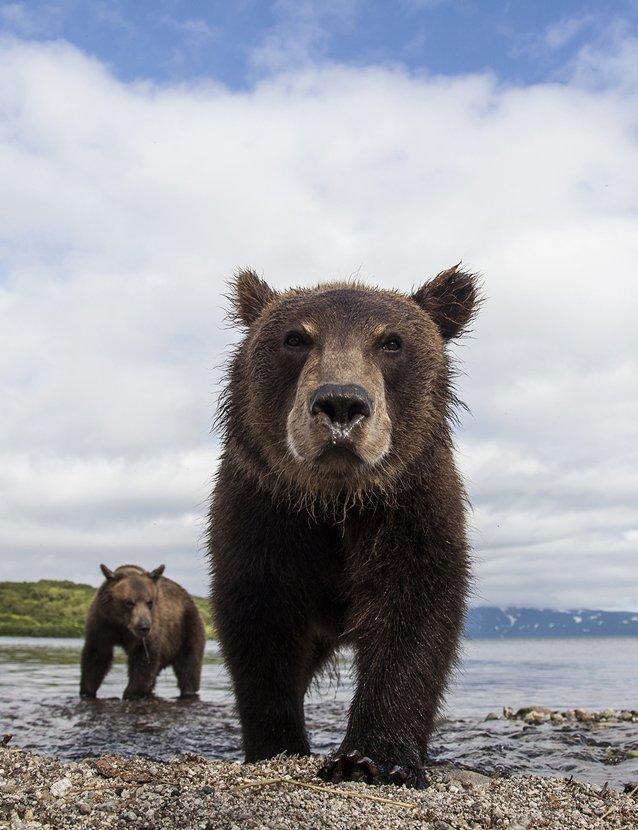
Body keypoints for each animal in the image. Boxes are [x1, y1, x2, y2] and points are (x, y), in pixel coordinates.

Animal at [79, 564, 205, 704]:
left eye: (149, 602)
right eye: (129, 602)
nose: (144, 627)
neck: (122, 624)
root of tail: (189, 598)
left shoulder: (151, 630)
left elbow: (144, 659)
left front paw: (131, 693)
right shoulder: (102, 623)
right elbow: (97, 655)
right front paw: (87, 690)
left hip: (188, 627)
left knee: (189, 665)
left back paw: (188, 690)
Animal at [209, 264, 480, 788]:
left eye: (391, 341)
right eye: (296, 338)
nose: (340, 404)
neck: (335, 502)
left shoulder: (408, 508)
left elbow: (416, 611)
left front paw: (375, 758)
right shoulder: (264, 515)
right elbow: (260, 621)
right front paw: (277, 745)